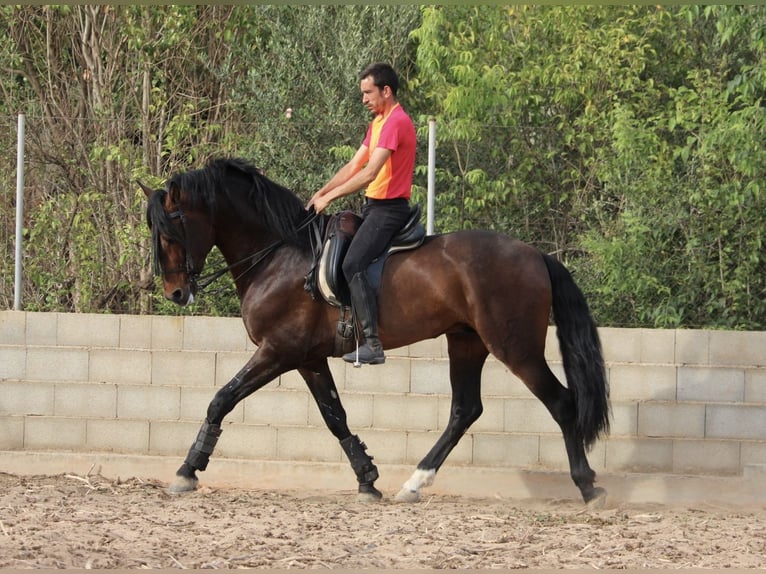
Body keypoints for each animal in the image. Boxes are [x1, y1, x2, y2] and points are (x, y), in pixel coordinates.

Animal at [142, 158, 612, 504]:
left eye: (170, 231)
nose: (175, 293)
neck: (278, 257)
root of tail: (536, 255)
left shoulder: (277, 352)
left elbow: (221, 400)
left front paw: (186, 471)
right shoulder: (308, 359)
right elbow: (335, 417)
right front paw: (367, 478)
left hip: (515, 347)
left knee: (561, 403)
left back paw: (588, 486)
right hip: (466, 342)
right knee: (464, 410)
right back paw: (414, 483)